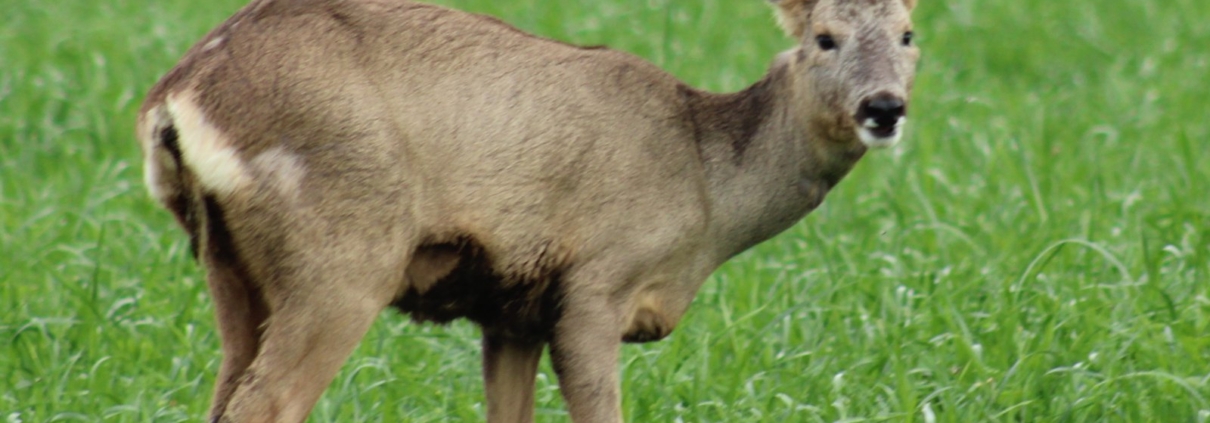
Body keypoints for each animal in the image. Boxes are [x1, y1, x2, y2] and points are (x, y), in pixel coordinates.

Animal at [136, 0, 919, 421]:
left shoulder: (513, 311)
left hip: (230, 267)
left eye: (909, 36)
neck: (705, 183)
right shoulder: (596, 284)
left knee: (223, 393)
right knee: (265, 403)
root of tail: (173, 97)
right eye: (824, 38)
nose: (884, 107)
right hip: (342, 255)